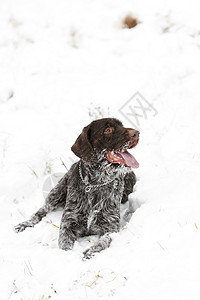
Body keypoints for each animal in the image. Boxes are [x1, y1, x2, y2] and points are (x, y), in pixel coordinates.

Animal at [14, 118, 139, 258]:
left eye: (122, 125)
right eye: (108, 130)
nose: (136, 133)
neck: (96, 184)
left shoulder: (110, 227)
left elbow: (104, 241)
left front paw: (90, 251)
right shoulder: (68, 224)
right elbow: (64, 244)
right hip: (56, 193)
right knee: (41, 211)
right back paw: (25, 224)